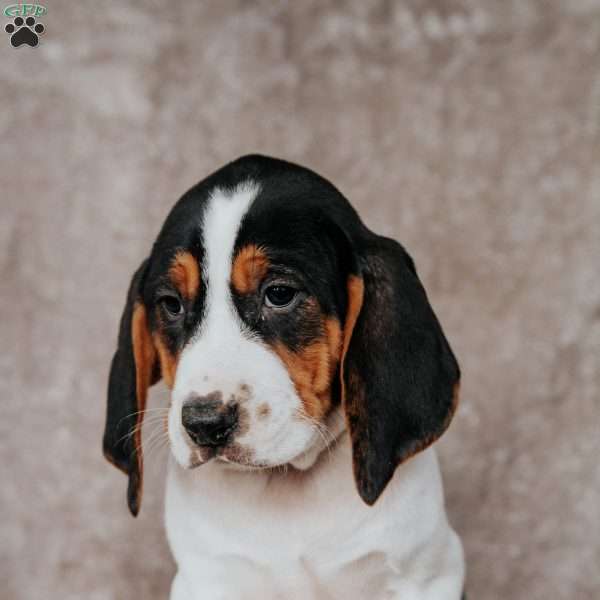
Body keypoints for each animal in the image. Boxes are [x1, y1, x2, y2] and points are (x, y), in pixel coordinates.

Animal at [103, 156, 464, 600]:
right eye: (171, 305)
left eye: (279, 294)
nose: (204, 423)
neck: (286, 486)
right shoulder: (208, 580)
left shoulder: (426, 578)